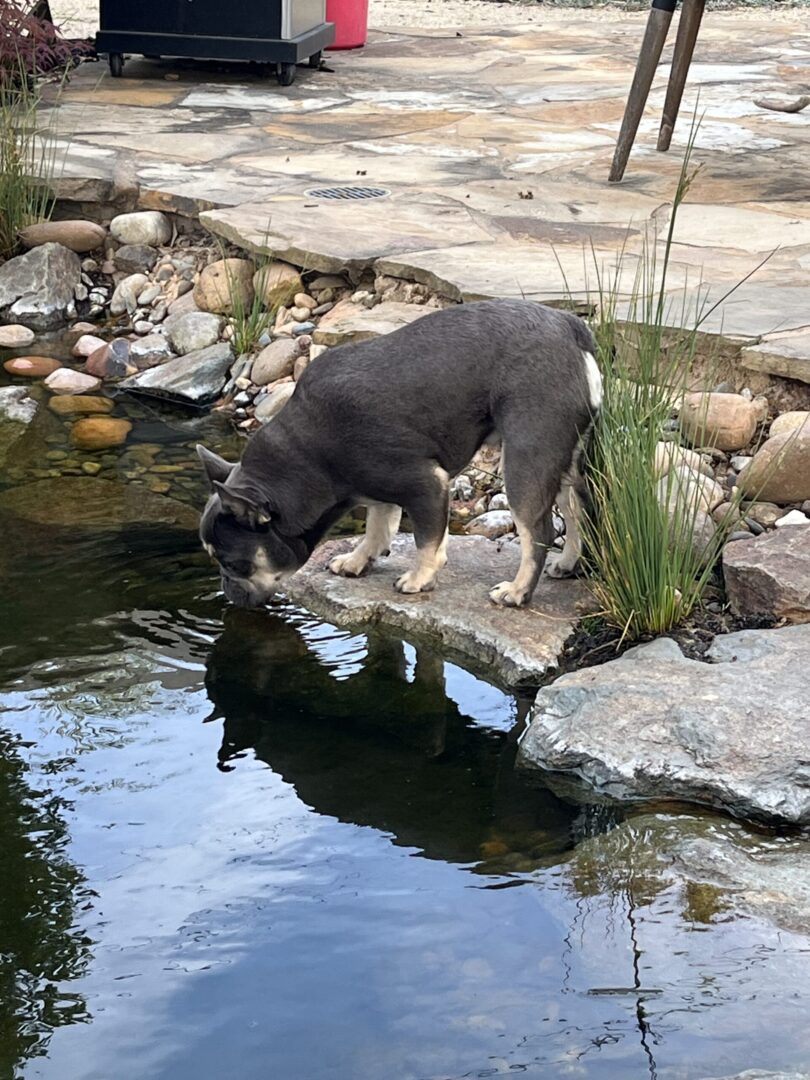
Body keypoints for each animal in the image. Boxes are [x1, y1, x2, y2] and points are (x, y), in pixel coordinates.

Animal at [196, 300, 604, 613]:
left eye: (234, 563)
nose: (227, 593)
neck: (309, 457)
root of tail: (571, 328)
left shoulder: (427, 485)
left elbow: (427, 541)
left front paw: (419, 578)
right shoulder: (380, 490)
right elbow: (377, 525)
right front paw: (358, 559)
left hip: (525, 459)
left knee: (538, 531)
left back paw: (518, 591)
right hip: (562, 459)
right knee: (577, 510)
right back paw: (568, 563)